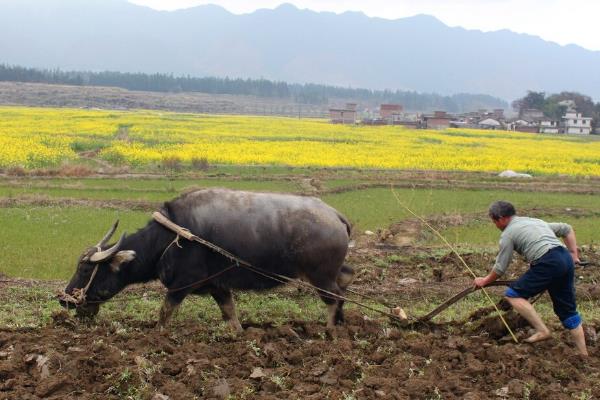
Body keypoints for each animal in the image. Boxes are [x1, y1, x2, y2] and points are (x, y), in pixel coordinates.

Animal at [59, 188, 352, 332]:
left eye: (85, 269)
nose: (65, 299)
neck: (171, 238)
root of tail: (335, 216)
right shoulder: (218, 286)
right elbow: (230, 314)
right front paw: (238, 334)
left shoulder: (181, 285)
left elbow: (164, 314)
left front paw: (157, 335)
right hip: (332, 272)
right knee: (345, 285)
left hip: (320, 276)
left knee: (334, 298)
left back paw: (330, 331)